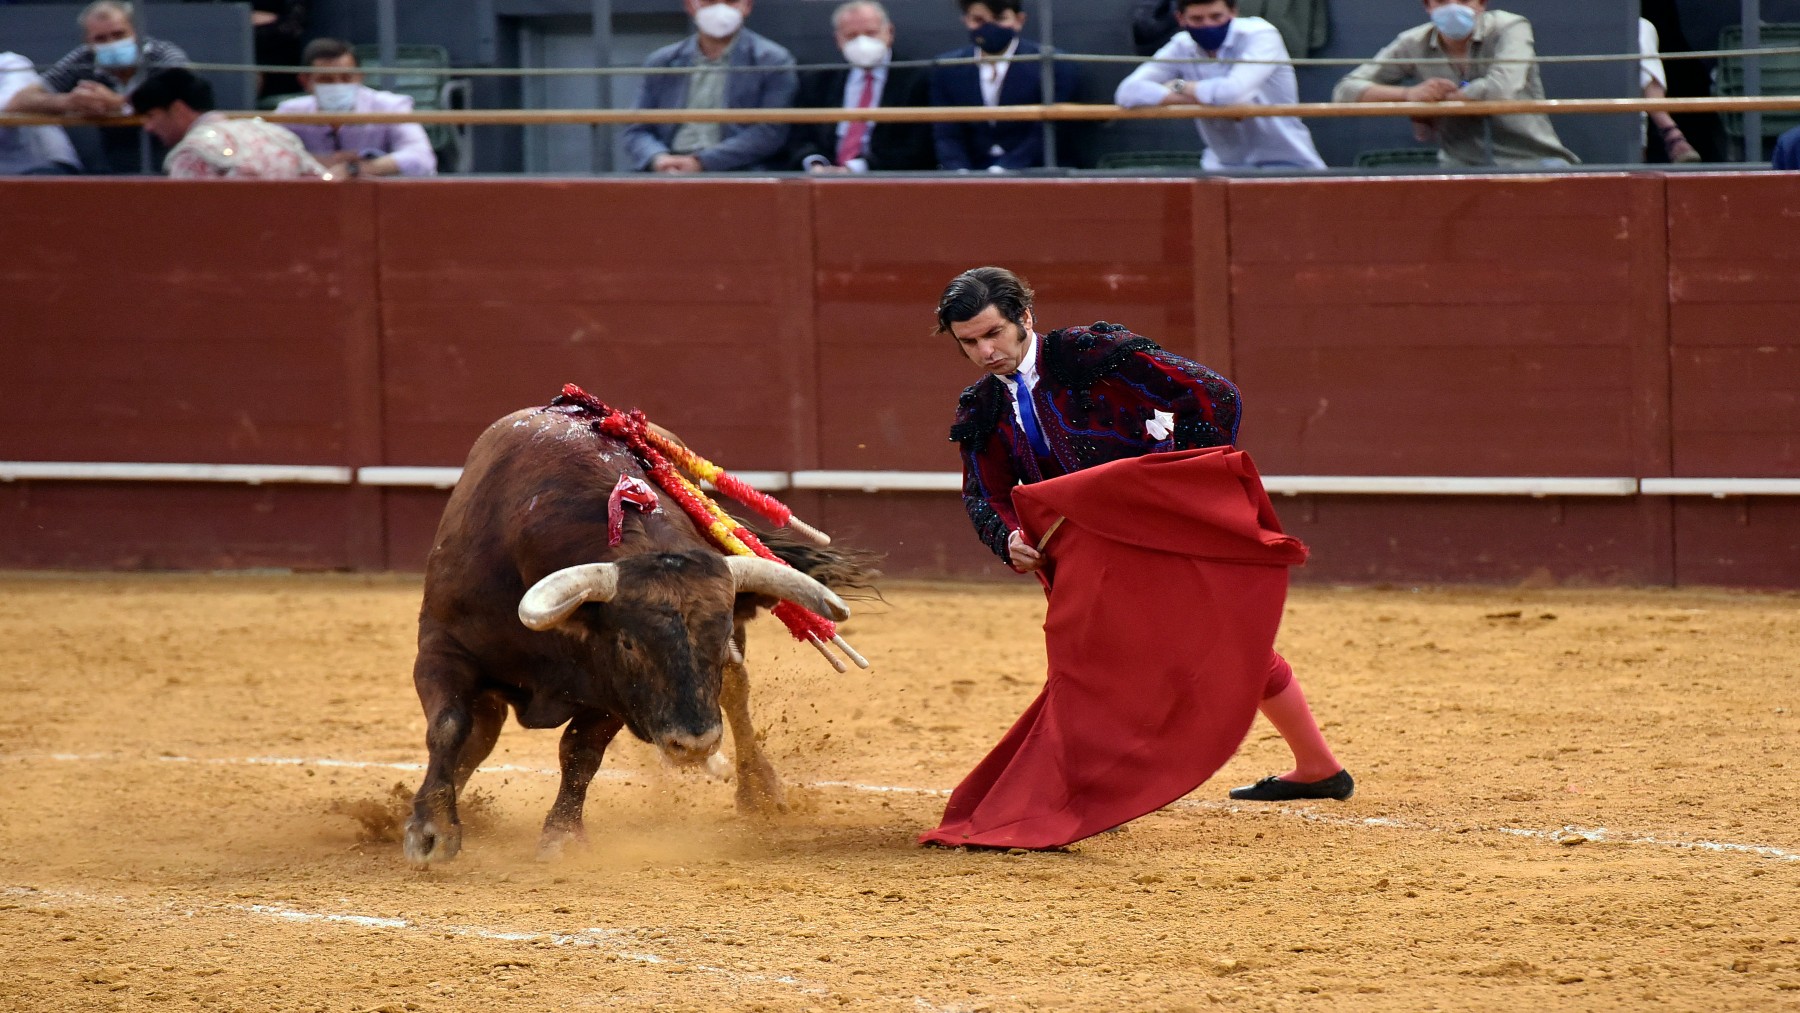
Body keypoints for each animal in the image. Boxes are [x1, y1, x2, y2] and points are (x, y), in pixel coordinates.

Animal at [403, 408, 878, 867]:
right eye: (628, 643)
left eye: (721, 634)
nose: (693, 745)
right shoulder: (441, 650)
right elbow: (448, 727)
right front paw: (431, 830)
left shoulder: (615, 693)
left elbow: (579, 752)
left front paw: (562, 837)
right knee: (479, 733)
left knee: (736, 693)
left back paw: (760, 791)